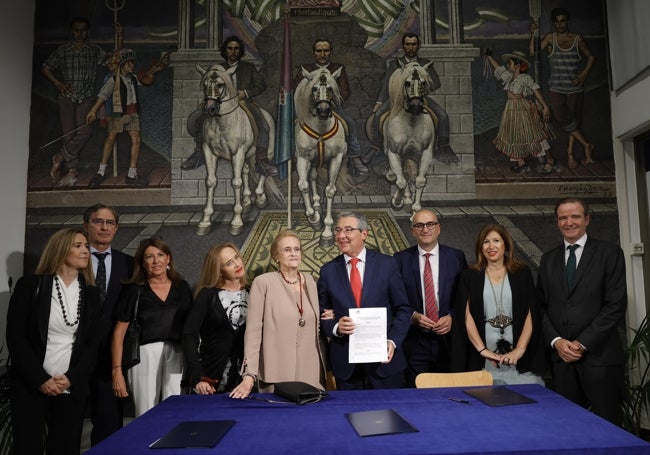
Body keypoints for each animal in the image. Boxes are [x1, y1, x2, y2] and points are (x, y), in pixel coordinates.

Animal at [194, 64, 272, 237]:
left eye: (220, 85)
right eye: (205, 85)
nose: (210, 109)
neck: (222, 123)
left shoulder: (238, 153)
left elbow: (236, 183)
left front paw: (236, 222)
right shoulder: (209, 152)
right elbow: (210, 182)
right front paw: (205, 221)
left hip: (265, 152)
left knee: (263, 169)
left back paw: (260, 198)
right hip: (247, 155)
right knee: (246, 171)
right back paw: (247, 201)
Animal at [294, 65, 346, 246]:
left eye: (330, 88)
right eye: (314, 88)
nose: (323, 111)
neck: (321, 131)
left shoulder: (337, 158)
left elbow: (330, 190)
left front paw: (327, 232)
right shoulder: (303, 158)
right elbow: (303, 185)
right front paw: (314, 218)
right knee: (312, 178)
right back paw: (316, 208)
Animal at [382, 61, 432, 216]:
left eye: (423, 82)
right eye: (407, 83)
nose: (416, 105)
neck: (411, 123)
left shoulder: (425, 153)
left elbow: (419, 181)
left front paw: (416, 211)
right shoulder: (394, 153)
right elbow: (401, 182)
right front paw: (397, 202)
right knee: (401, 176)